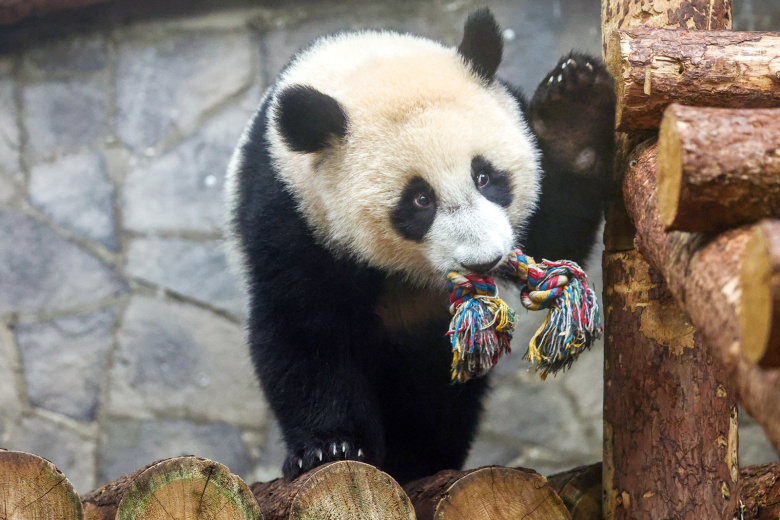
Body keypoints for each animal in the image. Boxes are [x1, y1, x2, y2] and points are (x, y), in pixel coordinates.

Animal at [226, 8, 615, 484]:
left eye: (485, 177)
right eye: (419, 200)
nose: (484, 260)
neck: (366, 62)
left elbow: (553, 236)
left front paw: (574, 111)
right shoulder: (291, 207)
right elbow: (302, 323)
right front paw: (330, 447)